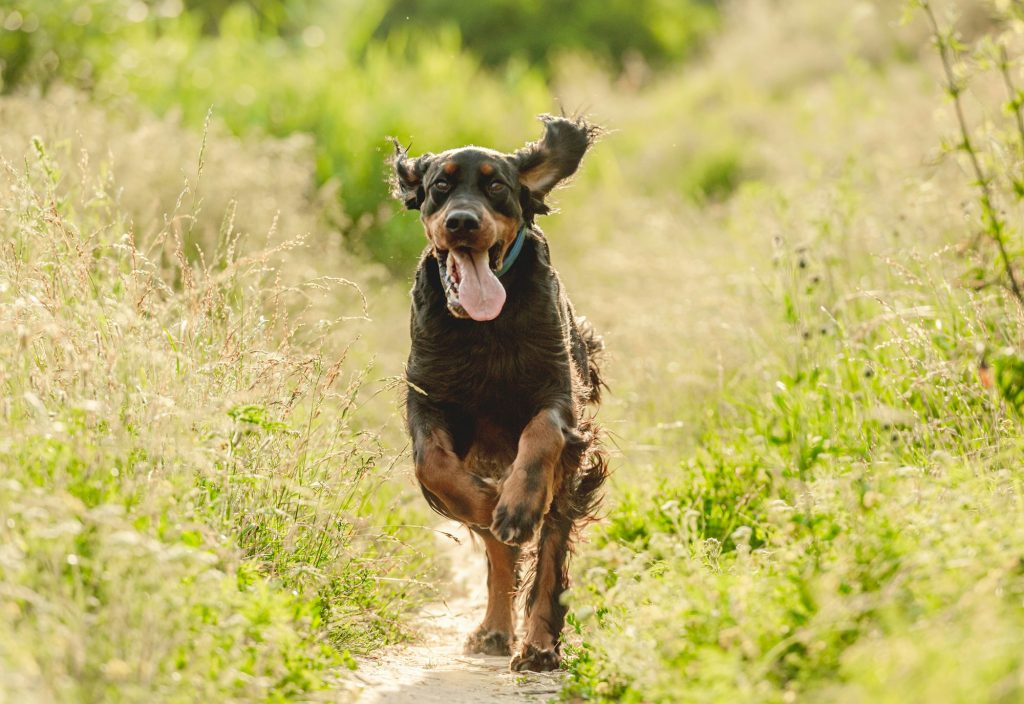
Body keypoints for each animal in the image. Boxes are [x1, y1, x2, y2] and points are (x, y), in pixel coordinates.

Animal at [387, 115, 602, 671]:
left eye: (498, 187)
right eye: (439, 187)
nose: (462, 222)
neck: (485, 326)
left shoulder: (560, 395)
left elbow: (542, 433)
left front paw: (517, 505)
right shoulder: (429, 399)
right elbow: (433, 464)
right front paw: (489, 504)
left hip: (569, 483)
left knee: (550, 553)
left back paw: (539, 645)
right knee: (499, 554)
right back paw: (495, 629)